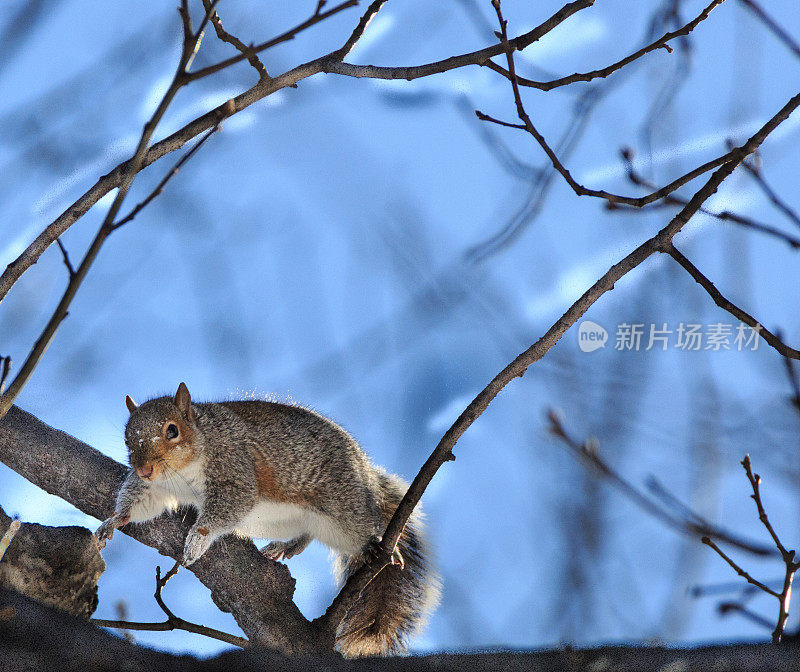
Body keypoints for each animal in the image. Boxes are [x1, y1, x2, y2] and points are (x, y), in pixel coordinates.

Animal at [96, 384, 440, 656]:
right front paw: (114, 520)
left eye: (172, 430)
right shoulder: (154, 488)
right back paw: (286, 547)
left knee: (362, 527)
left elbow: (226, 508)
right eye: (127, 438)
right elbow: (139, 503)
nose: (144, 469)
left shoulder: (235, 471)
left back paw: (378, 545)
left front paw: (197, 539)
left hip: (344, 510)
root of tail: (365, 474)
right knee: (307, 534)